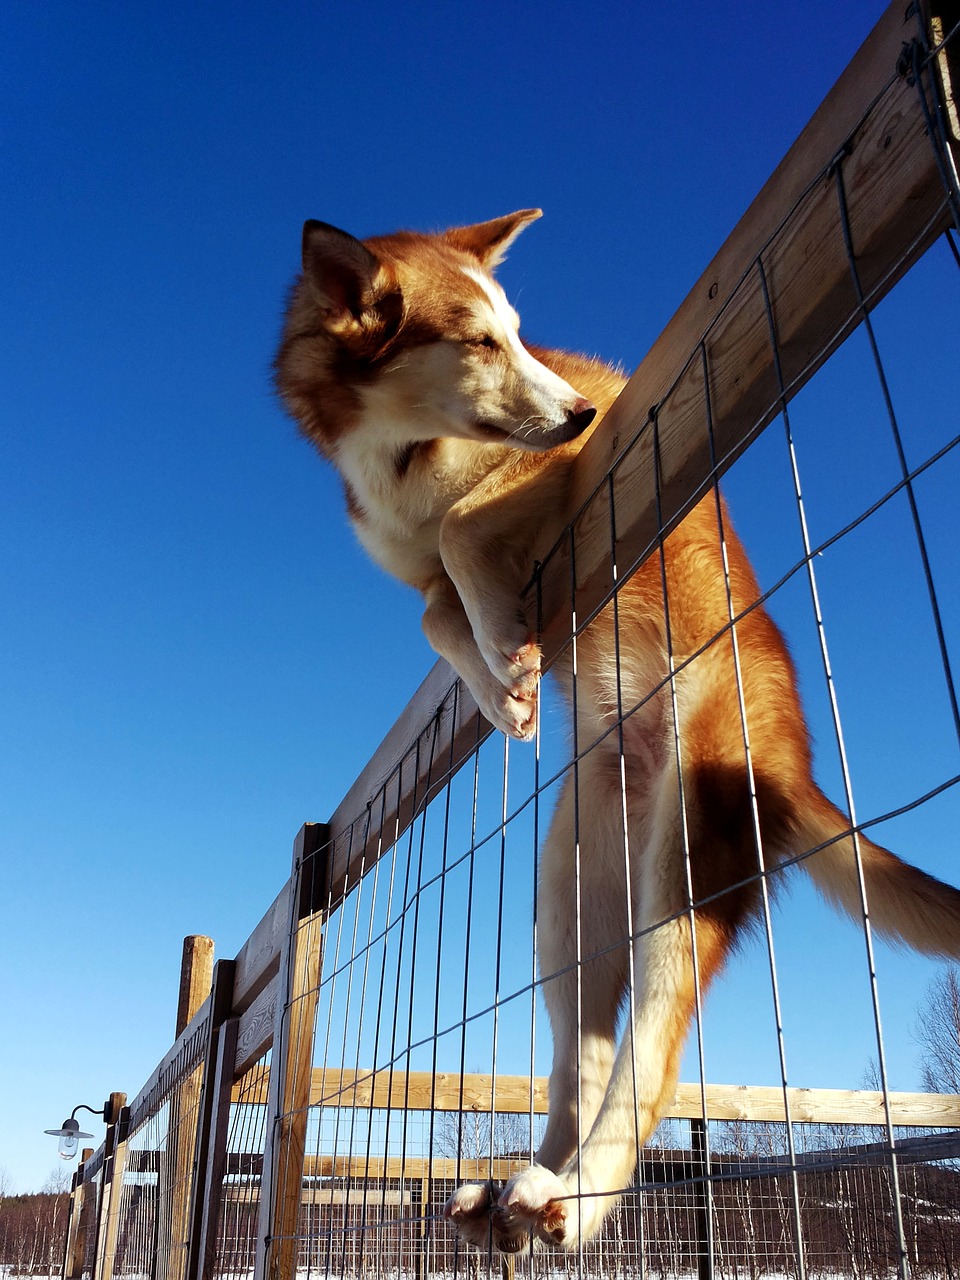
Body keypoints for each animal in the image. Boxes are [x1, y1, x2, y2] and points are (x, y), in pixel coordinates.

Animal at [276, 209, 960, 1249]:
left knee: (651, 1062)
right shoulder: (429, 574)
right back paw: (523, 1187)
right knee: (583, 1059)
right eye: (478, 341)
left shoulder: (562, 483)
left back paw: (584, 1192)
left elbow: (463, 530)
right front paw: (503, 685)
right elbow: (435, 611)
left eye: (519, 336)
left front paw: (503, 647)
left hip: (685, 860)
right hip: (574, 891)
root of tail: (796, 764)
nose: (579, 416)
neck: (405, 453)